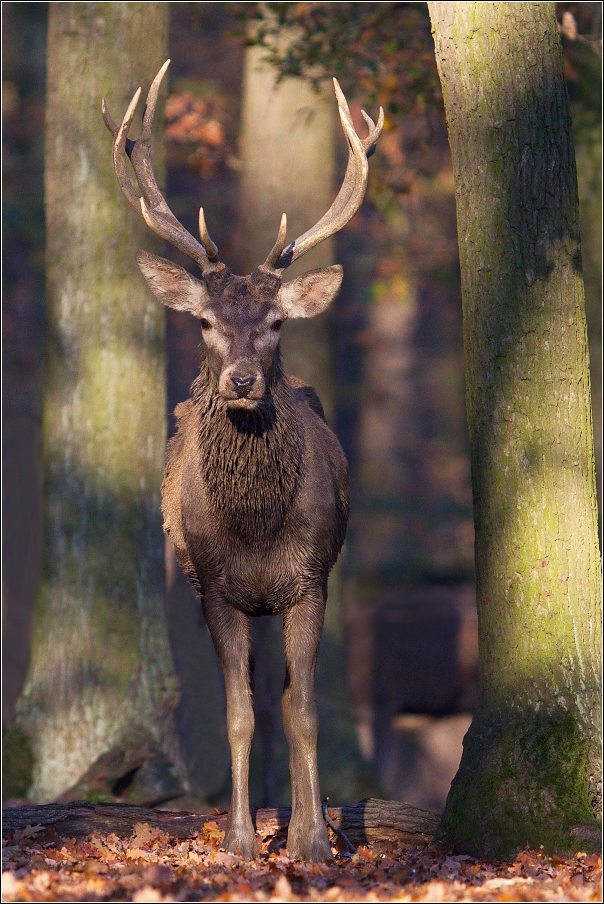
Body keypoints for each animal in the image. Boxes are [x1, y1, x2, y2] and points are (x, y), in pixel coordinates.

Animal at [101, 58, 380, 860]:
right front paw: (239, 842)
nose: (244, 380)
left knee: (285, 699)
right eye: (202, 320)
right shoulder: (215, 588)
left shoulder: (310, 580)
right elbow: (238, 714)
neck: (255, 529)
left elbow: (303, 710)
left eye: (279, 321)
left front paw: (313, 842)